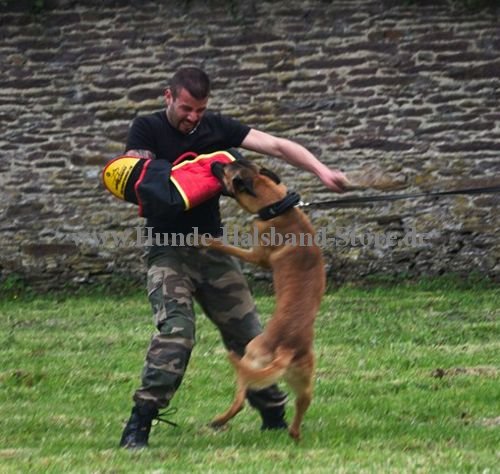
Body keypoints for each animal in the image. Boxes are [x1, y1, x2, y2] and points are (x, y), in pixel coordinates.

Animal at [205, 160, 326, 440]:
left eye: (225, 170)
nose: (214, 162)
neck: (277, 206)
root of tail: (287, 348)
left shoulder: (256, 255)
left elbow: (228, 247)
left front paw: (206, 241)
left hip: (249, 357)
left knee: (240, 398)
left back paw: (218, 420)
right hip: (304, 383)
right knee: (301, 404)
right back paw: (294, 434)